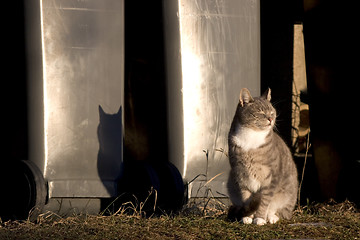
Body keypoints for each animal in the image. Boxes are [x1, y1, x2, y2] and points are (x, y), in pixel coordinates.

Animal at [228, 88, 298, 225]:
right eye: (260, 112)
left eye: (272, 112)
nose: (270, 119)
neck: (251, 136)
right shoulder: (241, 176)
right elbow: (246, 199)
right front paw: (248, 217)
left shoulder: (271, 178)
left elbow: (264, 201)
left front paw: (259, 218)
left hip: (287, 193)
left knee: (278, 209)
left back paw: (271, 217)